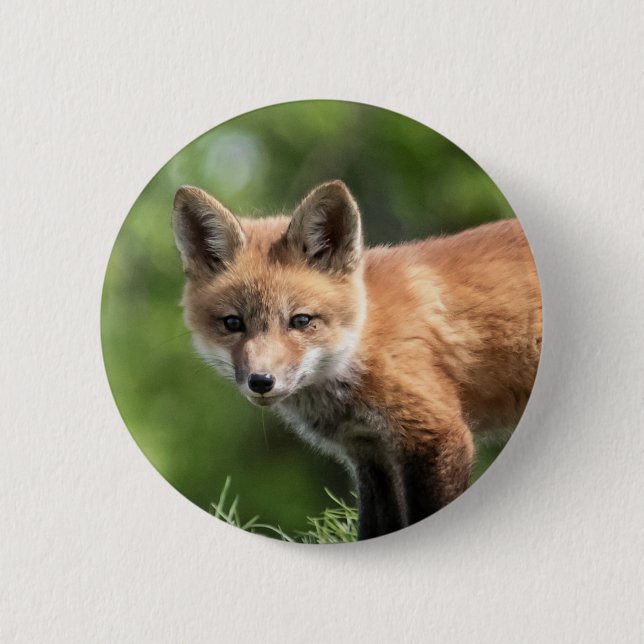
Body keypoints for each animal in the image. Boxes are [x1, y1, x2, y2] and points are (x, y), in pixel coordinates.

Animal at [171, 180, 542, 540]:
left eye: (301, 321)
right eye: (233, 323)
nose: (261, 381)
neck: (365, 339)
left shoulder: (437, 434)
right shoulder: (369, 452)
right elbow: (374, 528)